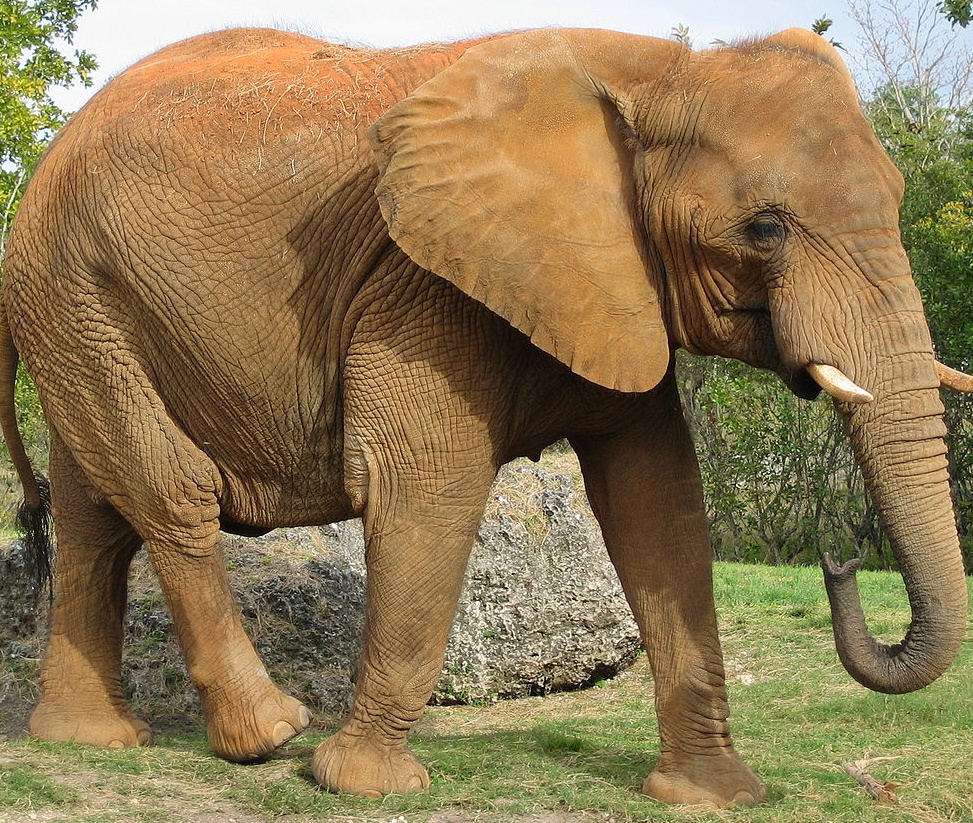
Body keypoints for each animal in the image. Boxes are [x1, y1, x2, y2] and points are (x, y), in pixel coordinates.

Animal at [1, 24, 970, 809]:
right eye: (764, 229)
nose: (839, 558)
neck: (657, 70)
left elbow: (657, 501)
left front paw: (714, 796)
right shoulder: (425, 283)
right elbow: (426, 482)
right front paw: (362, 785)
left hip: (80, 301)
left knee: (94, 517)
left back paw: (91, 739)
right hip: (70, 285)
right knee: (169, 492)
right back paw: (270, 732)